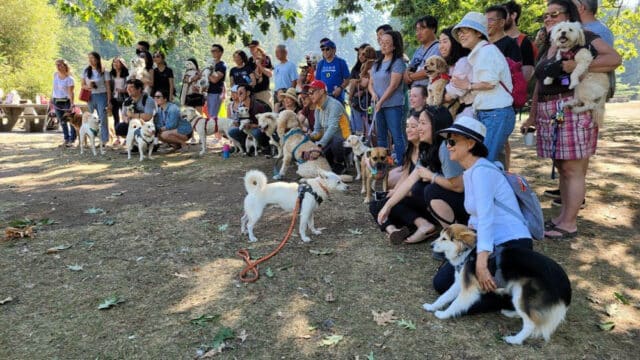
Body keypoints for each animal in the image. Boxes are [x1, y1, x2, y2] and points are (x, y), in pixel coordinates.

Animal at [422, 224, 572, 344]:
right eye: (439, 236)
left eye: (444, 239)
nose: (430, 245)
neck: (467, 252)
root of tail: (564, 284)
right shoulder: (459, 284)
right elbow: (444, 297)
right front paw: (431, 306)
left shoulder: (469, 290)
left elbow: (455, 303)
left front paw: (443, 314)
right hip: (518, 293)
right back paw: (511, 313)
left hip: (522, 293)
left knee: (530, 323)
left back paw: (515, 340)